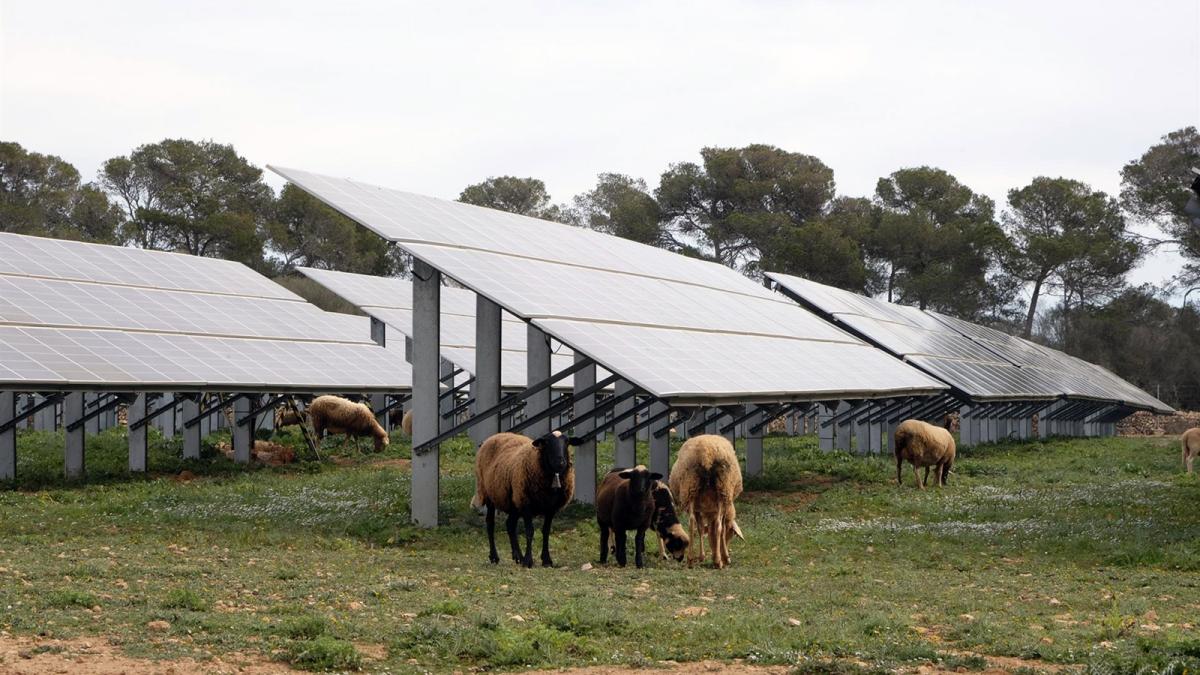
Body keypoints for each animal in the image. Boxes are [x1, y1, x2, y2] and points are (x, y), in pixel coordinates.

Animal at [470, 427, 578, 564]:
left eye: (567, 442)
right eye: (547, 442)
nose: (560, 462)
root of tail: (496, 436)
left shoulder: (551, 508)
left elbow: (546, 531)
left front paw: (546, 559)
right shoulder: (526, 503)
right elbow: (529, 531)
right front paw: (528, 560)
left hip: (514, 501)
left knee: (510, 525)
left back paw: (517, 556)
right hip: (490, 494)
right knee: (490, 523)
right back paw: (494, 557)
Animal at [667, 429, 739, 566]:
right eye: (730, 533)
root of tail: (707, 453)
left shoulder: (702, 507)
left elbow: (702, 529)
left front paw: (705, 557)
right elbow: (719, 529)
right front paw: (724, 557)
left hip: (694, 489)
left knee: (692, 523)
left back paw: (692, 559)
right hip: (717, 490)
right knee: (712, 524)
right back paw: (715, 561)